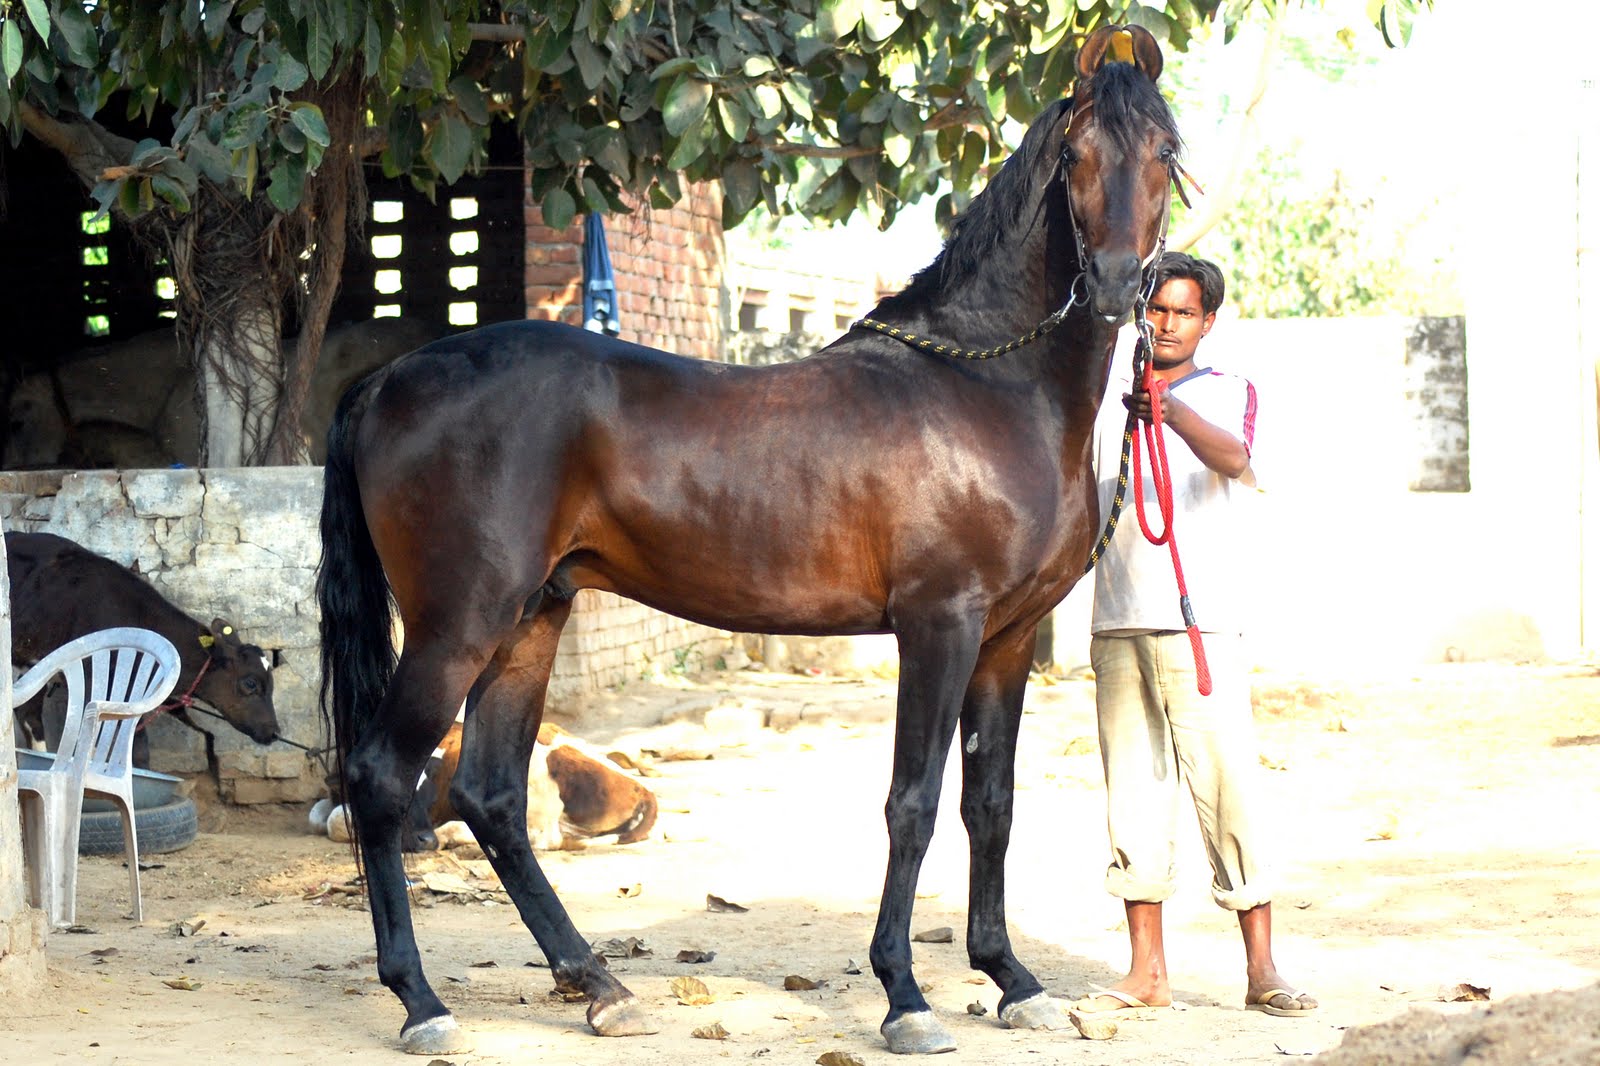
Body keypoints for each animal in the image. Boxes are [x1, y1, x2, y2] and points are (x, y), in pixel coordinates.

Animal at [317, 25, 1181, 1057]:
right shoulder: (939, 625)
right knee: (381, 776)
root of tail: (387, 380)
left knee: (489, 795)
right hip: (459, 626)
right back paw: (422, 1002)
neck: (987, 390)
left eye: (1164, 152)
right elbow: (914, 803)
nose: (1119, 286)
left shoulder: (1006, 643)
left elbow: (991, 806)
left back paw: (599, 985)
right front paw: (905, 996)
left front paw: (1012, 979)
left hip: (530, 620)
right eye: (1075, 155)